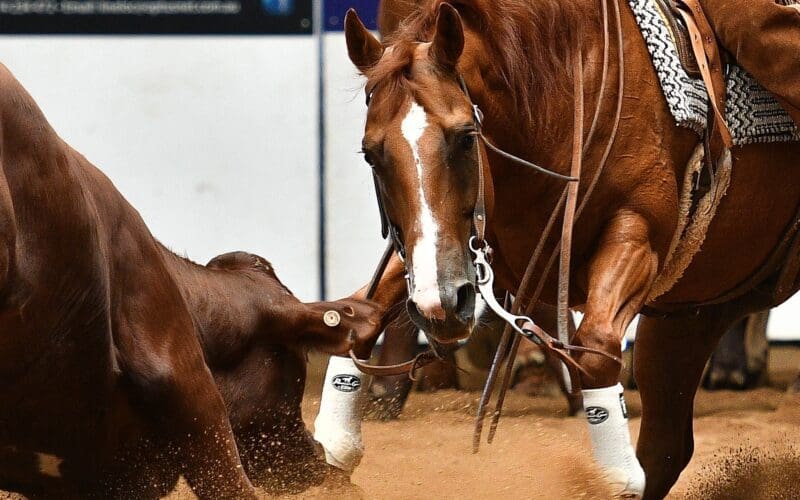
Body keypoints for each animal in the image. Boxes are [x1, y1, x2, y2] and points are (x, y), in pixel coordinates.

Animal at [343, 0, 800, 497]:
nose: (439, 305)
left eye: (465, 136)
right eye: (371, 154)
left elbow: (596, 348)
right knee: (667, 447)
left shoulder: (637, 236)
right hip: (692, 311)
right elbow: (358, 311)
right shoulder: (465, 255)